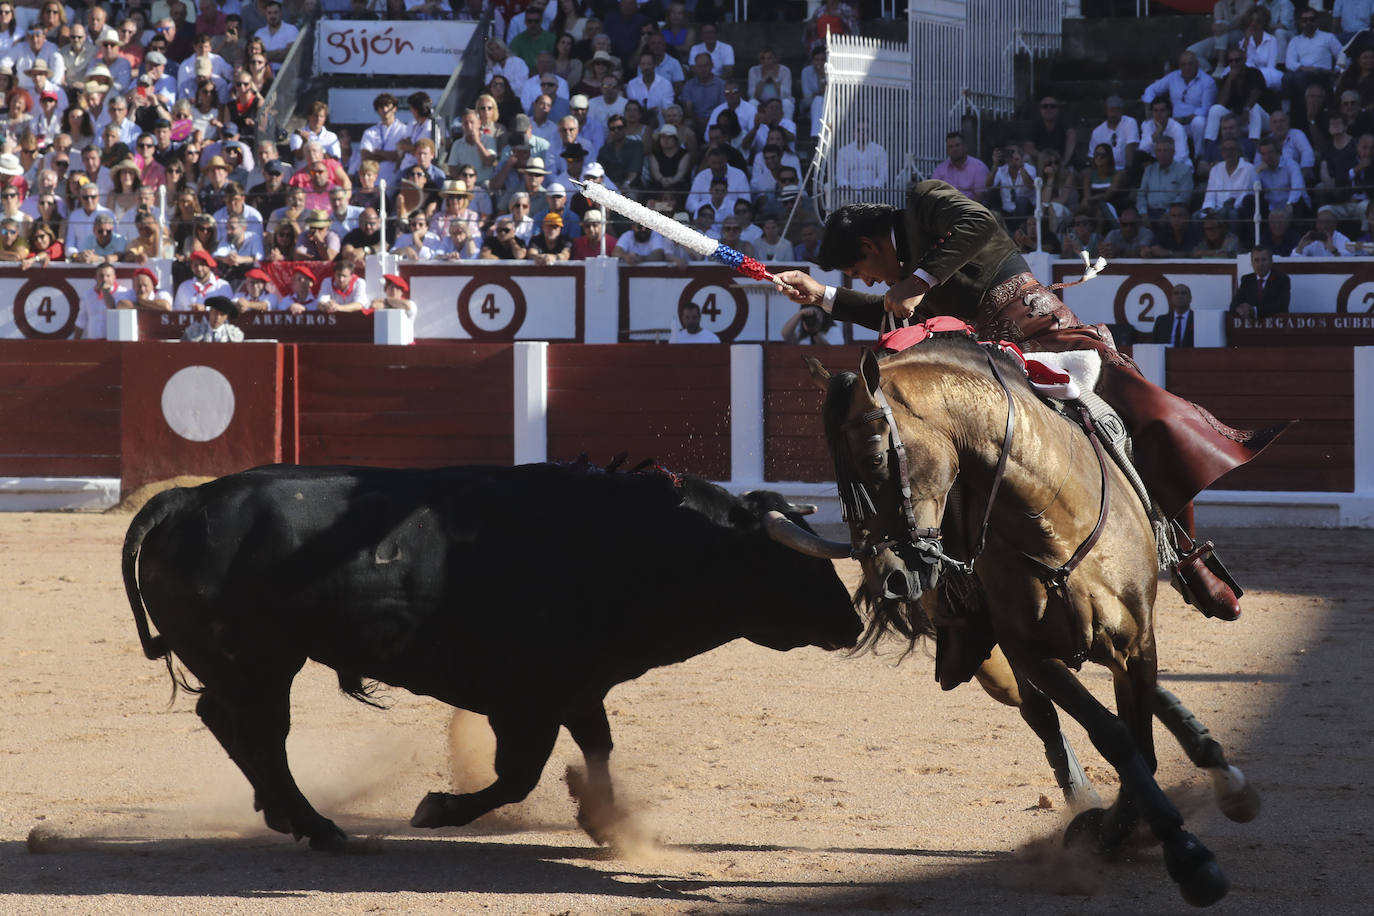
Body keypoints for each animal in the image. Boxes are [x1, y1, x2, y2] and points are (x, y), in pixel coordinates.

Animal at [126, 461, 857, 851]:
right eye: (796, 564)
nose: (853, 624)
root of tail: (183, 498)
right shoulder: (526, 699)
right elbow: (519, 776)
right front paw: (438, 810)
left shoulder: (577, 687)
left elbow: (596, 747)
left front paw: (605, 823)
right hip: (260, 662)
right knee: (258, 733)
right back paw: (317, 826)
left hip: (250, 666)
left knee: (229, 723)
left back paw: (285, 814)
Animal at [802, 339, 1258, 911]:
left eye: (875, 457)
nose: (888, 577)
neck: (1050, 516)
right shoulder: (1028, 652)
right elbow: (1114, 736)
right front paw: (1142, 841)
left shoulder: (1136, 642)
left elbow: (1142, 745)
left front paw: (1162, 842)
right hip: (990, 661)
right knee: (1040, 715)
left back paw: (1221, 774)